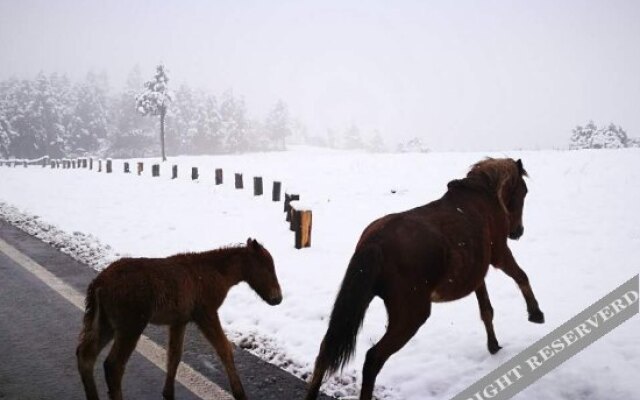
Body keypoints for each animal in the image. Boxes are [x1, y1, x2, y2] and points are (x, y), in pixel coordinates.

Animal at [76, 238, 282, 400]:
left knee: (86, 355)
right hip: (131, 325)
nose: (277, 298)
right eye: (267, 267)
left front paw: (168, 393)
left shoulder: (179, 320)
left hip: (106, 323)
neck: (221, 275)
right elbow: (224, 349)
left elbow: (174, 355)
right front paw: (240, 393)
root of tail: (97, 285)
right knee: (113, 365)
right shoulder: (205, 312)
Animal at [304, 158, 544, 398]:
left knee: (325, 350)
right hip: (412, 315)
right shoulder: (499, 254)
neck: (483, 195)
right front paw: (536, 313)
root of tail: (375, 242)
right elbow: (521, 276)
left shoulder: (477, 273)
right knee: (372, 359)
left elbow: (486, 310)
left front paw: (493, 345)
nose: (518, 231)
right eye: (524, 191)